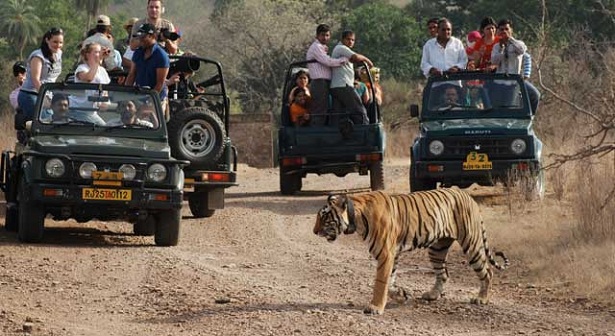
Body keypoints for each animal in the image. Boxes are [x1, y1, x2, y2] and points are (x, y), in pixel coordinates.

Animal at [312, 189, 510, 316]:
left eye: (324, 217)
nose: (314, 232)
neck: (356, 218)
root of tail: (468, 195)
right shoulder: (392, 255)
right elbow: (390, 282)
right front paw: (401, 295)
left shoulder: (386, 253)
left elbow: (380, 283)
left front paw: (375, 307)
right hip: (437, 249)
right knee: (443, 274)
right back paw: (432, 295)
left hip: (471, 243)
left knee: (487, 271)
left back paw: (481, 299)